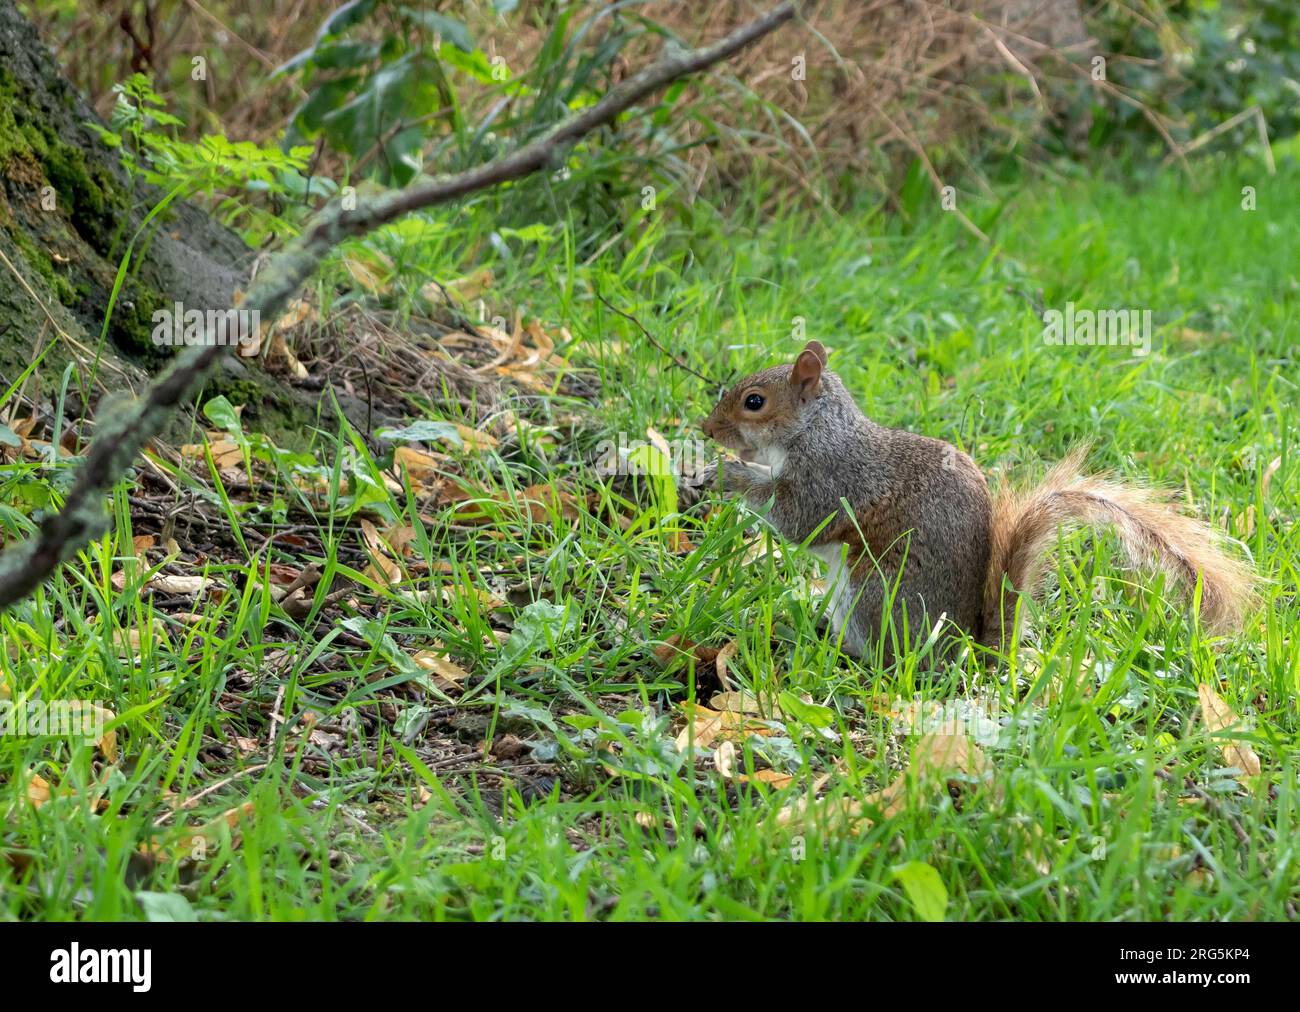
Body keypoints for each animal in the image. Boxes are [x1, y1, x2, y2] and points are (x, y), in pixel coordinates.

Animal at [695, 340, 1257, 662]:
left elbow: (799, 522)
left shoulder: (833, 480)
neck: (816, 431)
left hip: (873, 591)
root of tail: (963, 648)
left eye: (753, 402)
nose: (706, 429)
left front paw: (728, 474)